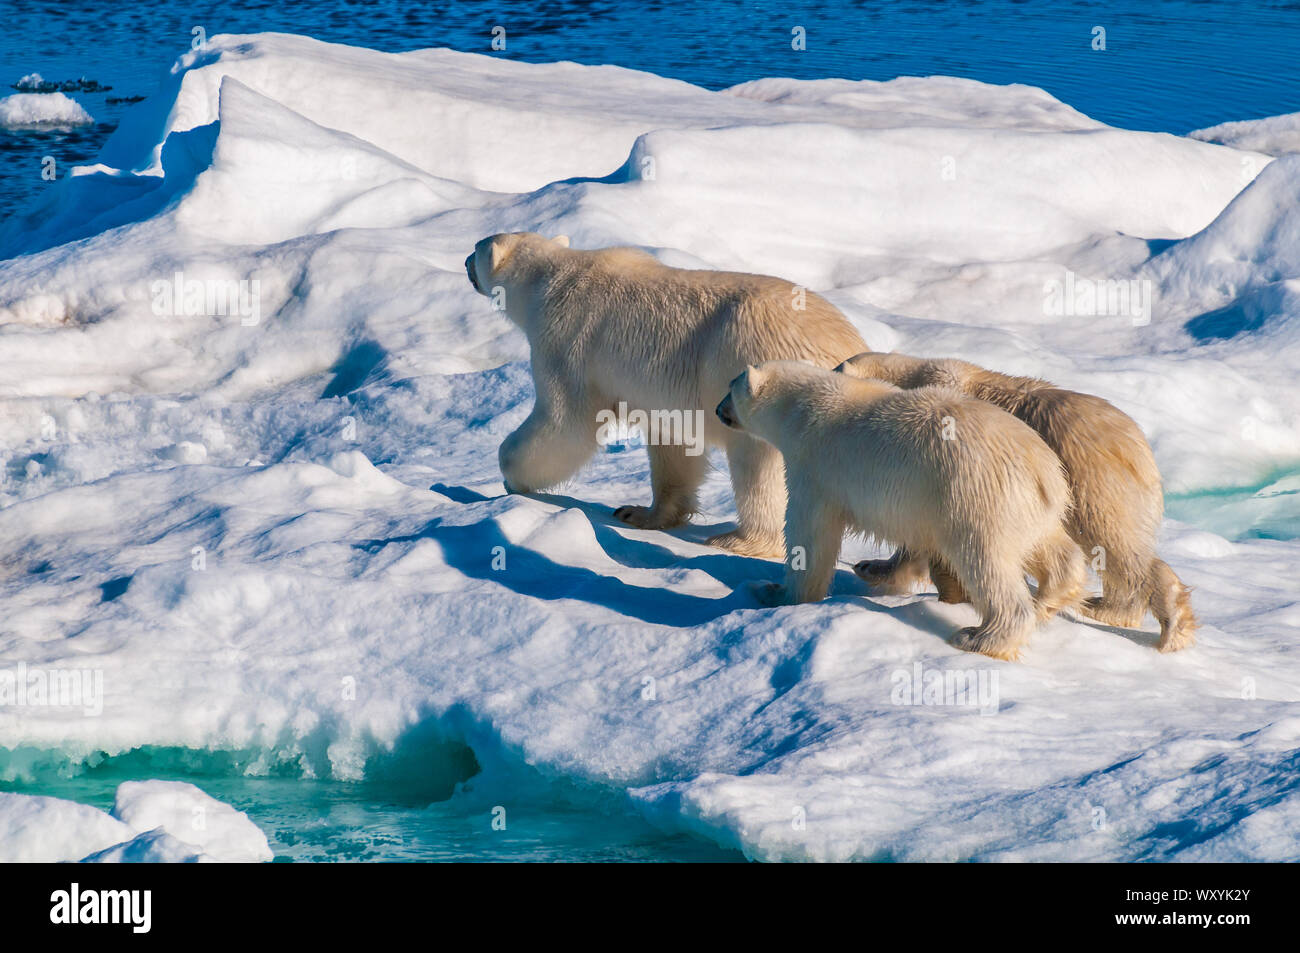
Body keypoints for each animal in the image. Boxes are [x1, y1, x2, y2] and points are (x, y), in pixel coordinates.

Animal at [465, 232, 867, 558]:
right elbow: (673, 443)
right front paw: (640, 513)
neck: (552, 277)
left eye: (476, 247)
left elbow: (565, 422)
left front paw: (511, 475)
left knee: (758, 466)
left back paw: (740, 540)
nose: (466, 262)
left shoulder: (566, 340)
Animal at [715, 360, 1086, 661]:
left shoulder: (816, 466)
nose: (718, 410)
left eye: (729, 387)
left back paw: (981, 637)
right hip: (1030, 507)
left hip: (973, 495)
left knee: (985, 561)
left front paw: (775, 592)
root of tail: (1042, 469)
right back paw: (1050, 598)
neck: (801, 408)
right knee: (1050, 548)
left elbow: (810, 534)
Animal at [835, 351, 1197, 653]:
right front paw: (874, 566)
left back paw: (1168, 628)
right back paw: (1109, 608)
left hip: (1089, 478)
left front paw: (882, 571)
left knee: (1113, 543)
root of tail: (1138, 446)